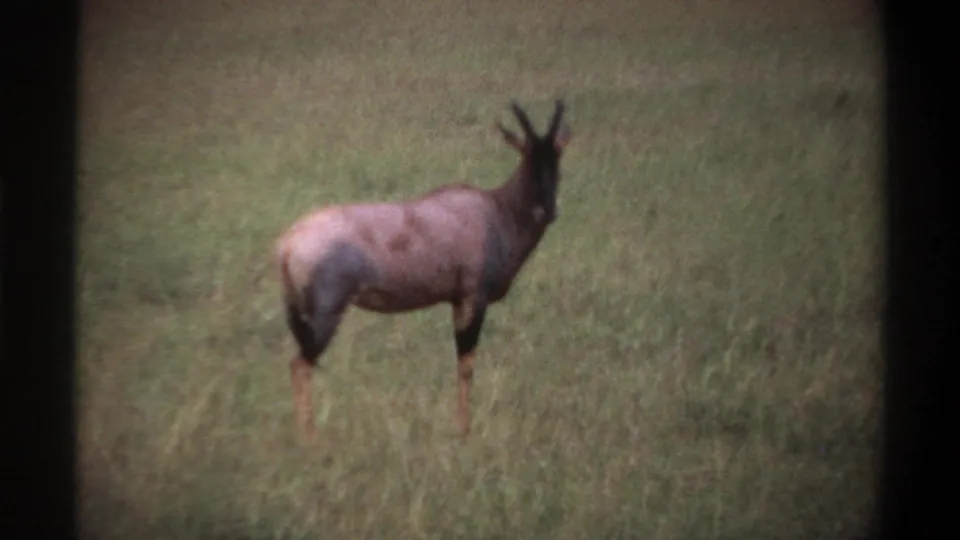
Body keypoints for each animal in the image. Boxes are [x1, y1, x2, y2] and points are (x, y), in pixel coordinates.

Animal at [275, 100, 572, 443]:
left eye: (556, 158)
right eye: (526, 157)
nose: (547, 210)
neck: (493, 210)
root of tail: (287, 244)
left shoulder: (456, 300)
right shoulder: (473, 298)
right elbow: (466, 363)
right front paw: (462, 430)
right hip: (325, 316)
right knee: (299, 365)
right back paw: (309, 440)